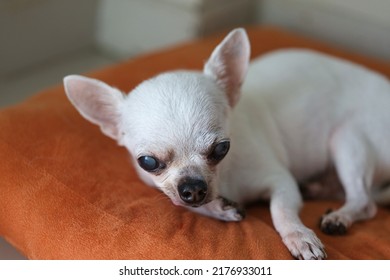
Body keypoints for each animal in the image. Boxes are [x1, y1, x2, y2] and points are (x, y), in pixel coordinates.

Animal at [63, 28, 390, 258]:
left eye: (221, 148)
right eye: (148, 162)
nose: (193, 187)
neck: (225, 180)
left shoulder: (281, 181)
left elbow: (281, 211)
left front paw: (298, 236)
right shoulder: (167, 191)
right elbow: (183, 204)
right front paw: (220, 209)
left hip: (347, 139)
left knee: (365, 201)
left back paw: (340, 215)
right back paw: (318, 188)